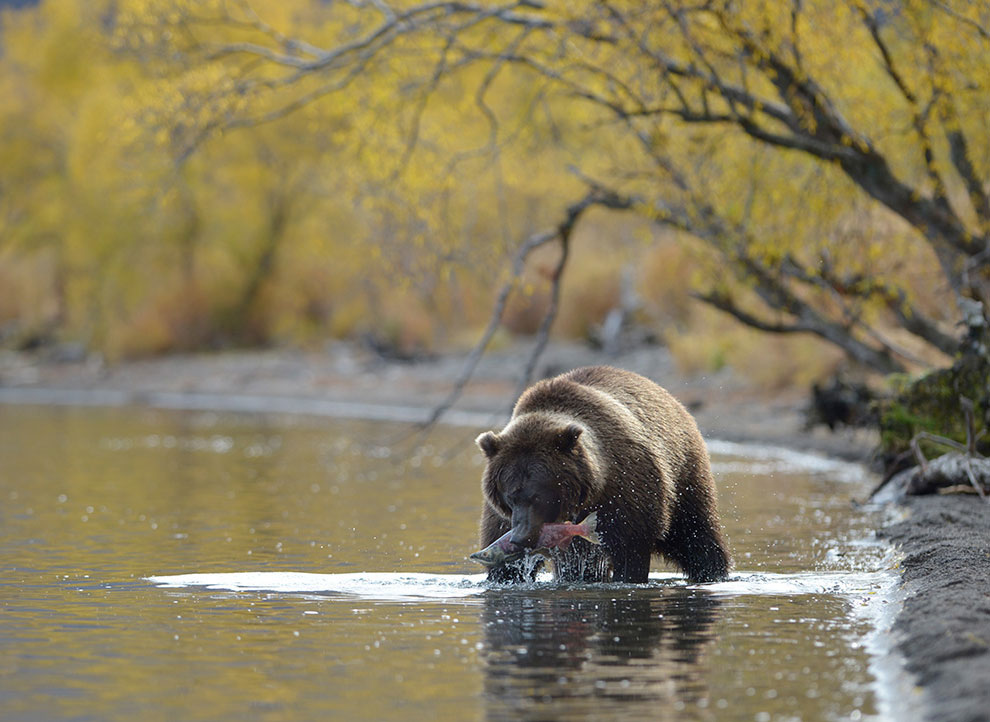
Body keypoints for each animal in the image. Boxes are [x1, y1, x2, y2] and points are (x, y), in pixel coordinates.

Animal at [476, 362, 732, 584]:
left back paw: (713, 572)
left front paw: (627, 577)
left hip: (683, 479)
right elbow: (506, 564)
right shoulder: (502, 517)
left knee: (697, 536)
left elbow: (630, 549)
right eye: (510, 495)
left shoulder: (626, 491)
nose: (521, 537)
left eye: (538, 494)